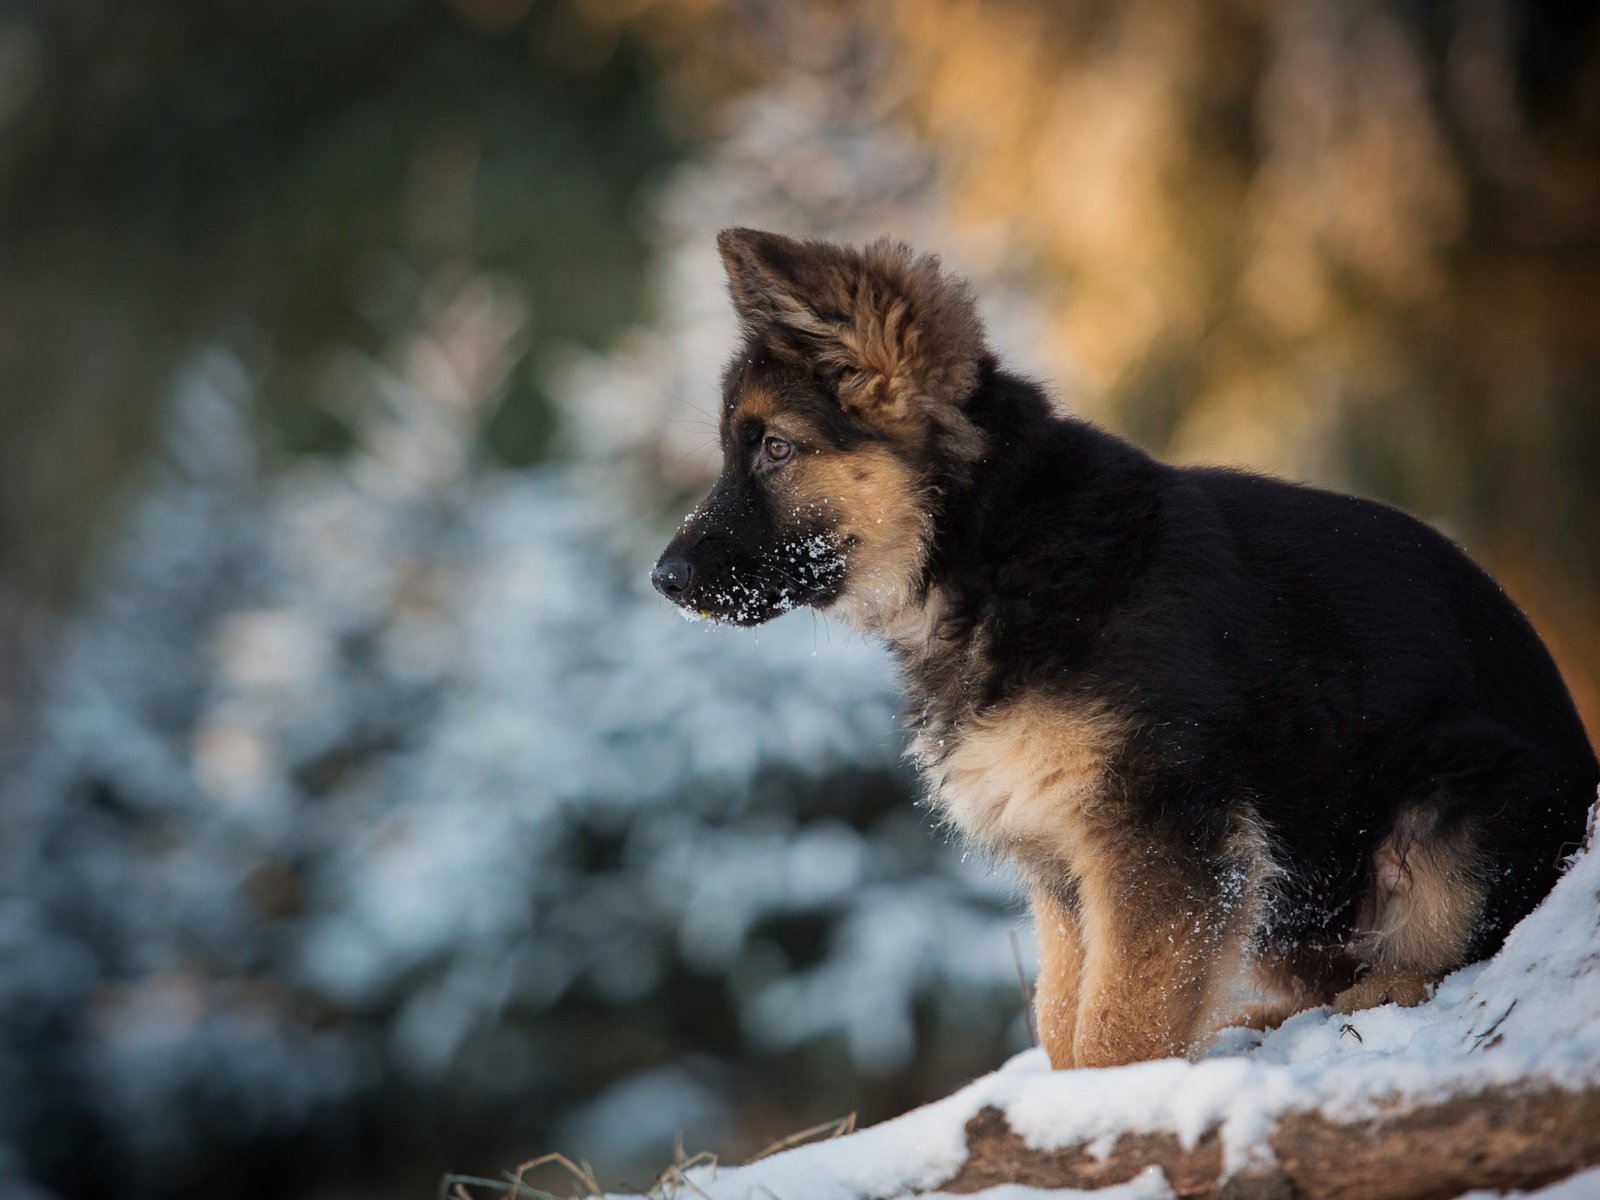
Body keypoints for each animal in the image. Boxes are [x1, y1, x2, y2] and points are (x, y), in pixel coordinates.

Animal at [652, 227, 1600, 1068]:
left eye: (777, 449)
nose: (662, 580)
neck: (998, 549)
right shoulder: (1067, 861)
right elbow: (1064, 1018)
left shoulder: (1160, 836)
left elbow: (1119, 1027)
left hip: (1448, 808)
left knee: (1449, 957)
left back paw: (1377, 996)